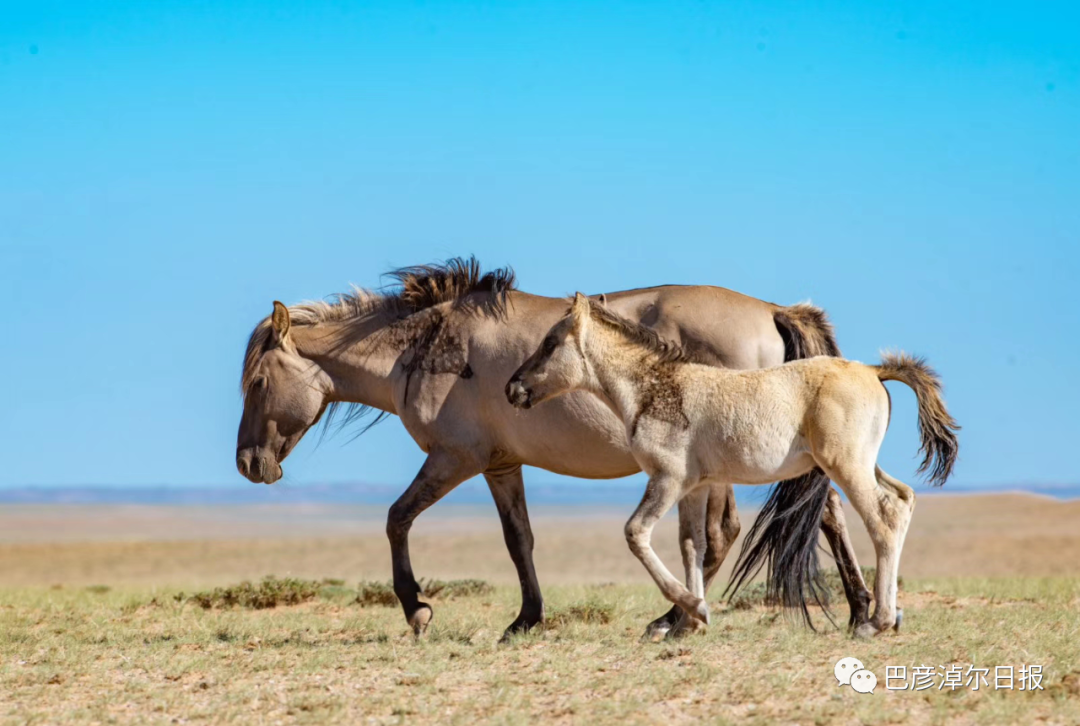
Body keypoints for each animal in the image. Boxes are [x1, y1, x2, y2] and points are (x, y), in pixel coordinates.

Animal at [234, 258, 868, 639]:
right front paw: (526, 619)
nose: (247, 464)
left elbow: (396, 519)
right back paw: (857, 611)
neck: (426, 347)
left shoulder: (453, 461)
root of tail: (773, 310)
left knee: (731, 533)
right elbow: (520, 541)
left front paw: (417, 609)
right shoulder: (500, 467)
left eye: (258, 382)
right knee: (825, 515)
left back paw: (679, 618)